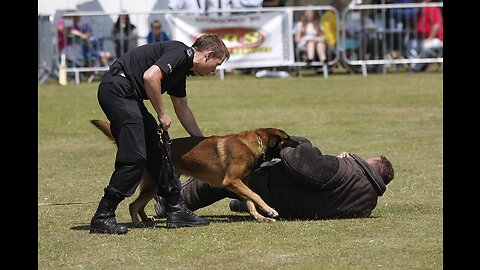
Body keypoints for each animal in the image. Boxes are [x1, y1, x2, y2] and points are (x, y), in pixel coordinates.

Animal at [90, 121, 298, 225]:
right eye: (287, 139)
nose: (299, 142)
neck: (255, 143)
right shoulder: (232, 181)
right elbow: (256, 196)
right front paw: (270, 210)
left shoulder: (240, 183)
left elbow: (250, 201)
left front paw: (260, 217)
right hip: (154, 185)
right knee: (133, 205)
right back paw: (138, 224)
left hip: (155, 185)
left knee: (139, 205)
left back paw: (147, 220)